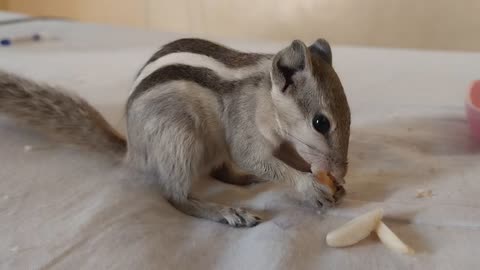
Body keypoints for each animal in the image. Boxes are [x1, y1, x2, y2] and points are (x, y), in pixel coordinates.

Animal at [0, 37, 352, 228]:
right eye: (320, 123)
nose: (339, 171)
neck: (265, 96)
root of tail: (133, 151)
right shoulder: (244, 127)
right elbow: (252, 157)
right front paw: (309, 185)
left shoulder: (284, 142)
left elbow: (290, 157)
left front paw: (328, 182)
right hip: (178, 139)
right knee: (175, 196)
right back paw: (226, 211)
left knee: (221, 170)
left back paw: (245, 180)